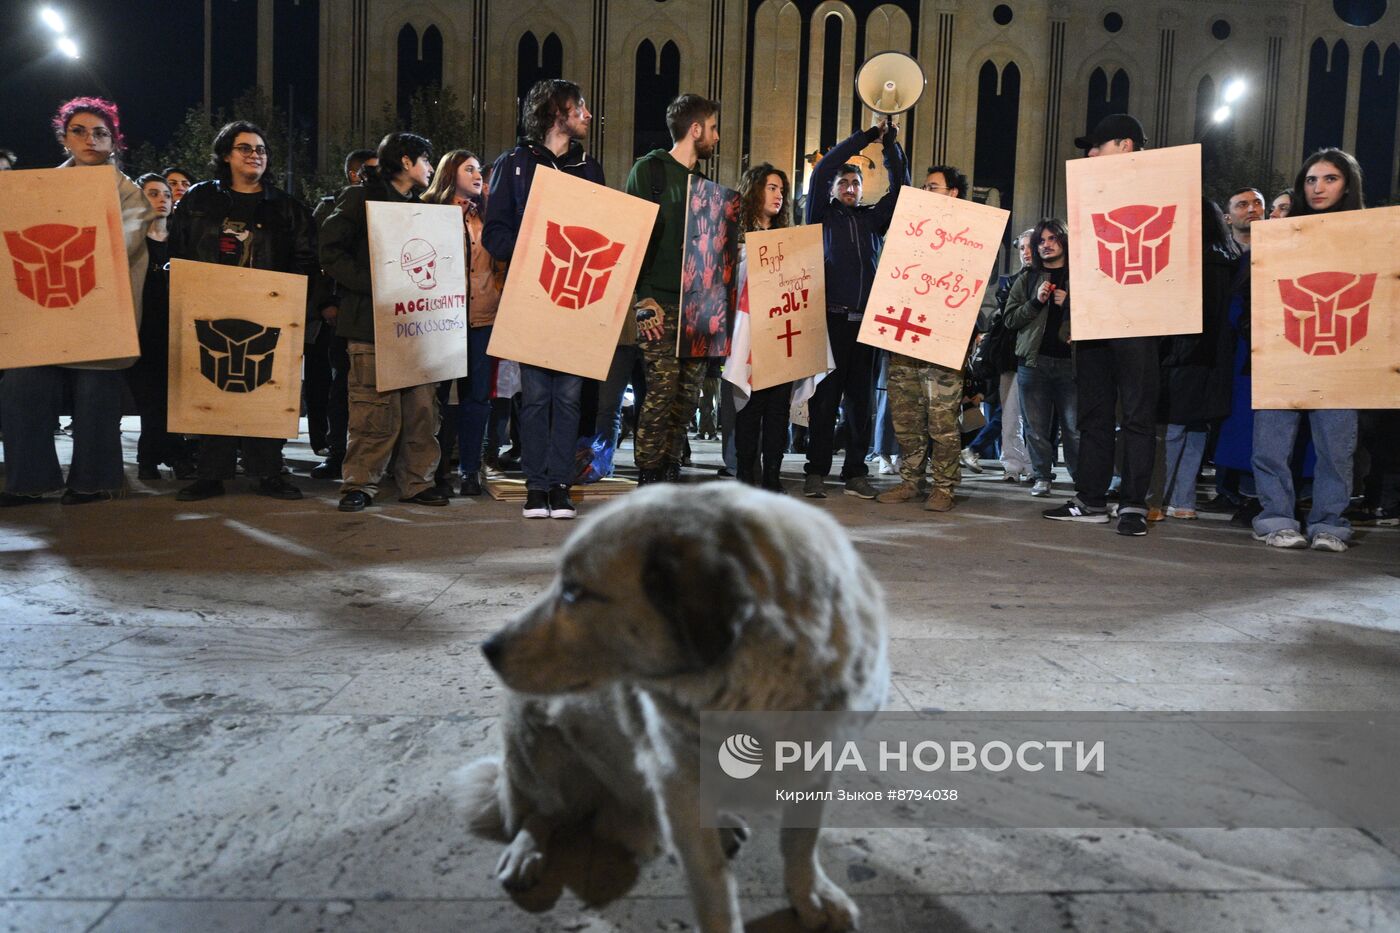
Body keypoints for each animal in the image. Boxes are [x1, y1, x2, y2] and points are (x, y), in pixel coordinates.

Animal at [464, 481, 890, 924]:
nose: (488, 648)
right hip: (534, 742)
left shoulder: (820, 762)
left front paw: (810, 895)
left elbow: (800, 841)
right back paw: (525, 851)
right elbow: (714, 891)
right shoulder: (681, 784)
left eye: (572, 591)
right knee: (539, 813)